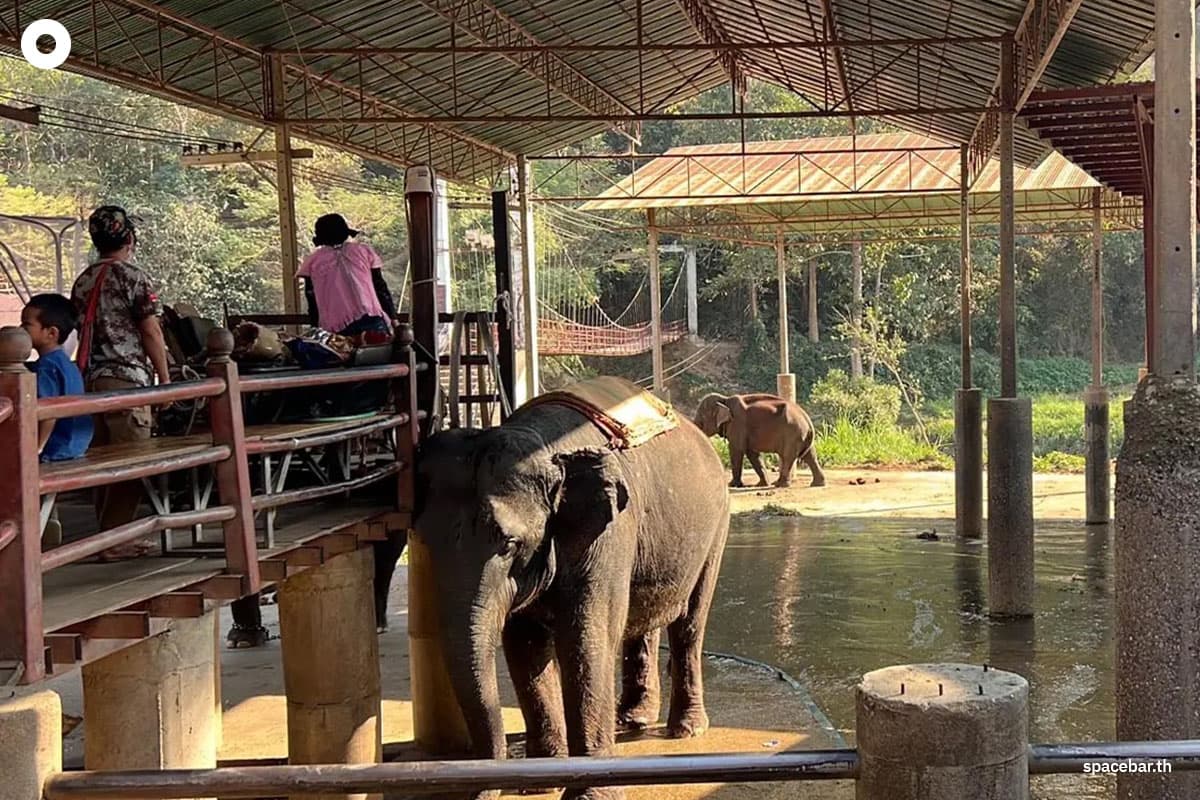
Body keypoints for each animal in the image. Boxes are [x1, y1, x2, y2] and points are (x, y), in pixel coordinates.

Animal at [412, 399, 730, 800]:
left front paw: (589, 794)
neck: (545, 448)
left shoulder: (607, 536)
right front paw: (538, 782)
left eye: (510, 544)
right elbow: (525, 643)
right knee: (644, 620)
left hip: (717, 526)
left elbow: (585, 638)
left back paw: (686, 729)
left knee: (690, 623)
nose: (477, 790)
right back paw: (634, 719)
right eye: (425, 543)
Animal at [693, 392, 826, 489]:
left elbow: (736, 450)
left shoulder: (737, 424)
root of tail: (806, 418)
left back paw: (780, 485)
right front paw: (761, 484)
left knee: (788, 457)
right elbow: (752, 454)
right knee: (810, 456)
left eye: (701, 417)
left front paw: (733, 485)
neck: (724, 399)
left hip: (792, 434)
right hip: (801, 436)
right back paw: (817, 484)